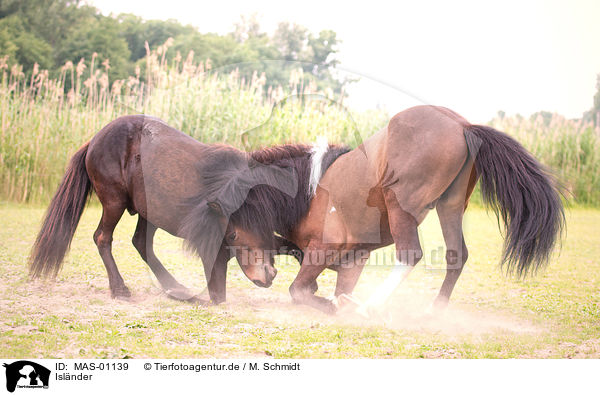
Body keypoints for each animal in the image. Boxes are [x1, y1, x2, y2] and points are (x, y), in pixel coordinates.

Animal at [210, 105, 564, 316]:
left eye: (232, 233)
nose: (261, 279)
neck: (310, 192)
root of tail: (462, 126)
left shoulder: (326, 249)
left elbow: (298, 290)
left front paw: (332, 305)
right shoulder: (353, 261)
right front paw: (334, 299)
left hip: (400, 207)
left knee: (410, 254)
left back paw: (368, 307)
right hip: (450, 207)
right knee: (456, 255)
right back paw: (434, 310)